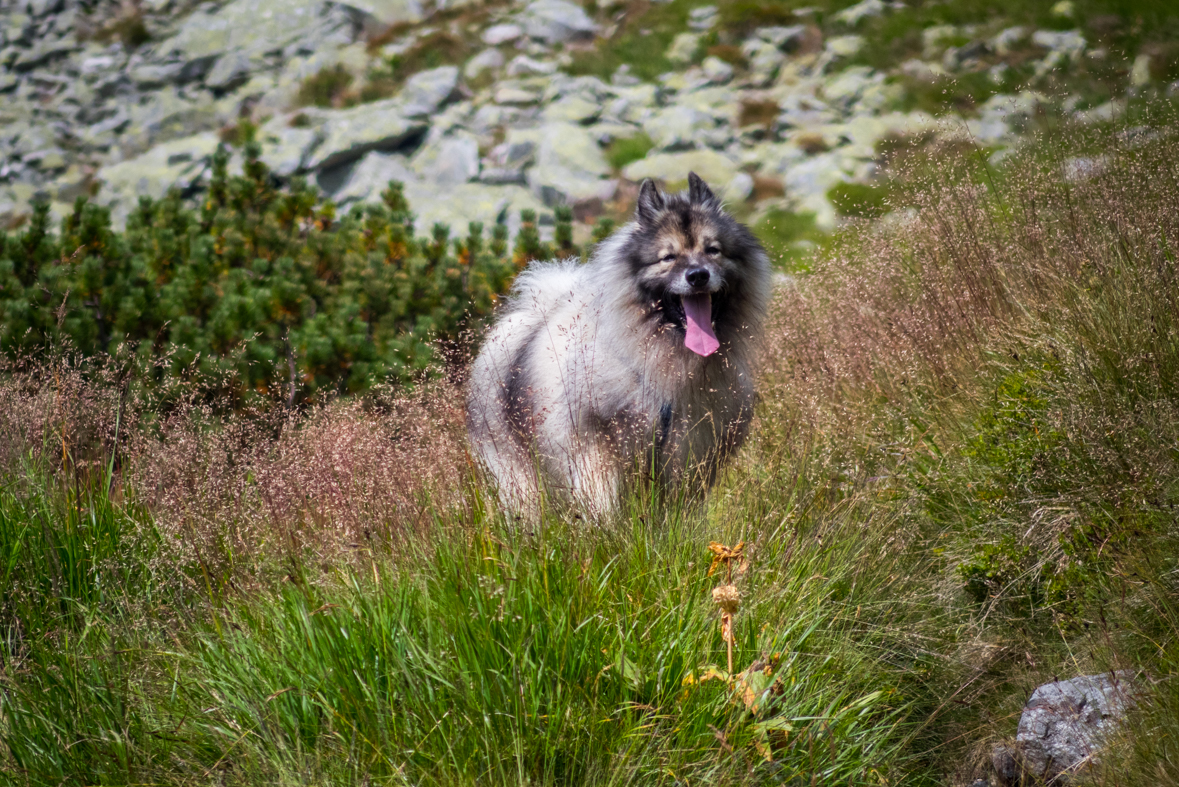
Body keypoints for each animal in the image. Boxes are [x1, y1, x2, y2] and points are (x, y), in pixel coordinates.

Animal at [469, 173, 773, 516]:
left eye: (713, 250)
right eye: (668, 257)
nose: (697, 275)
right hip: (518, 472)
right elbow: (604, 503)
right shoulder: (596, 445)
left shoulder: (692, 451)